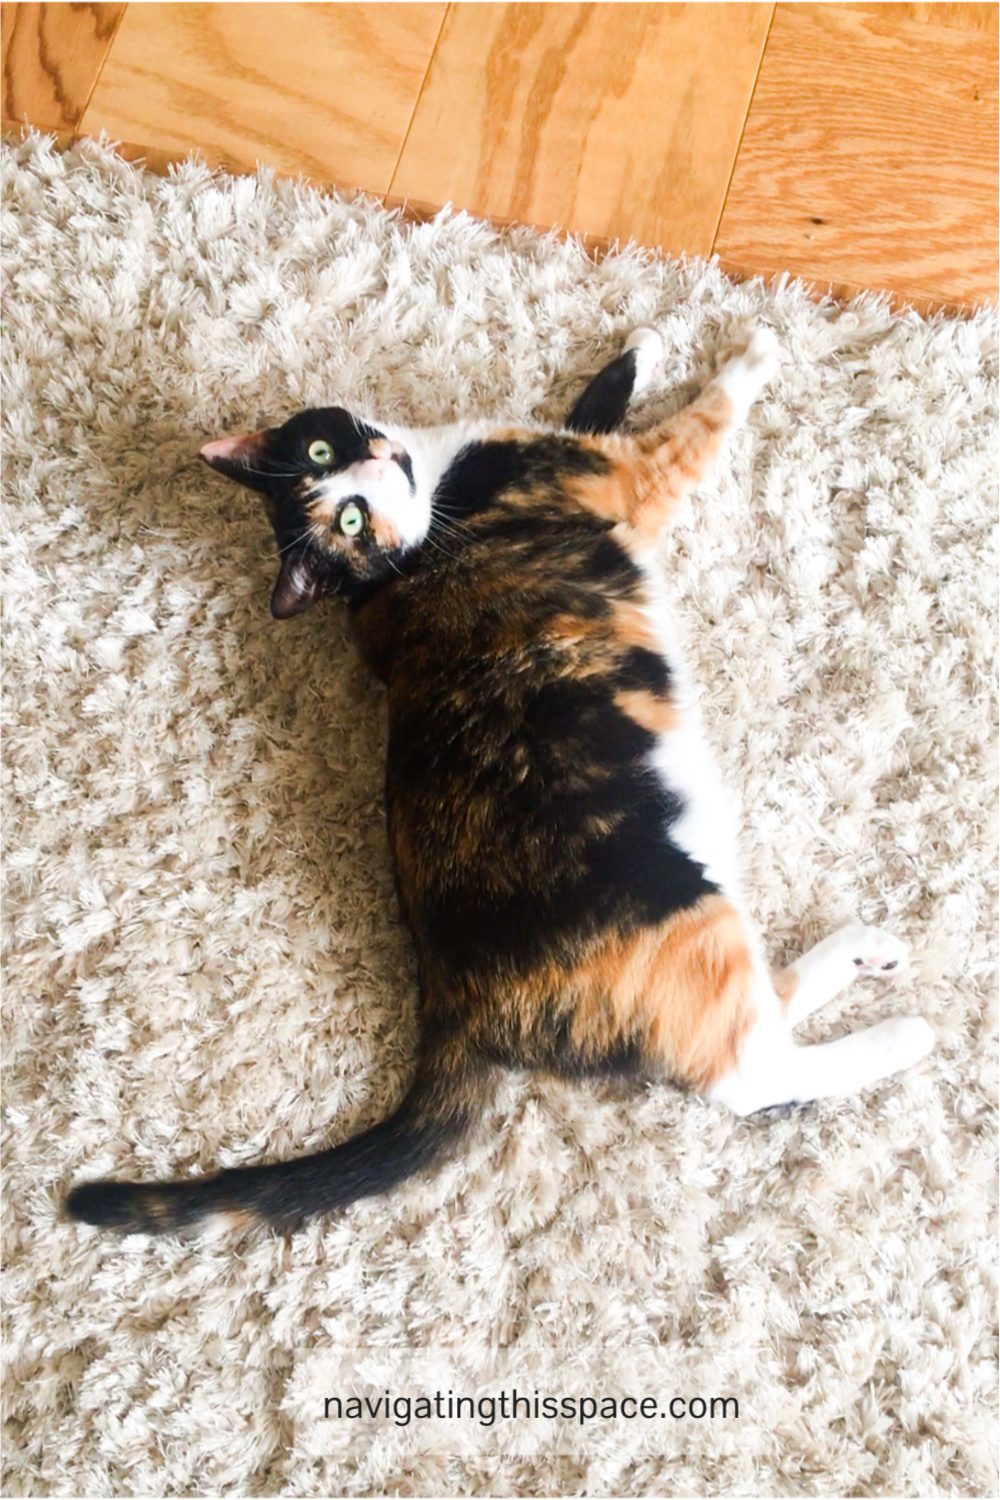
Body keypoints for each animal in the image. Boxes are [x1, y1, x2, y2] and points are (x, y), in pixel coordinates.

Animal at [66, 328, 935, 1230]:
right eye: (349, 517)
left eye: (322, 456)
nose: (369, 472)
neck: (432, 493)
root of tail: (451, 1005)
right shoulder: (625, 474)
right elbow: (701, 415)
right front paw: (750, 350)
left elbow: (590, 404)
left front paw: (637, 350)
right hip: (675, 907)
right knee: (748, 1070)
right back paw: (903, 1034)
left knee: (767, 1003)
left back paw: (867, 953)